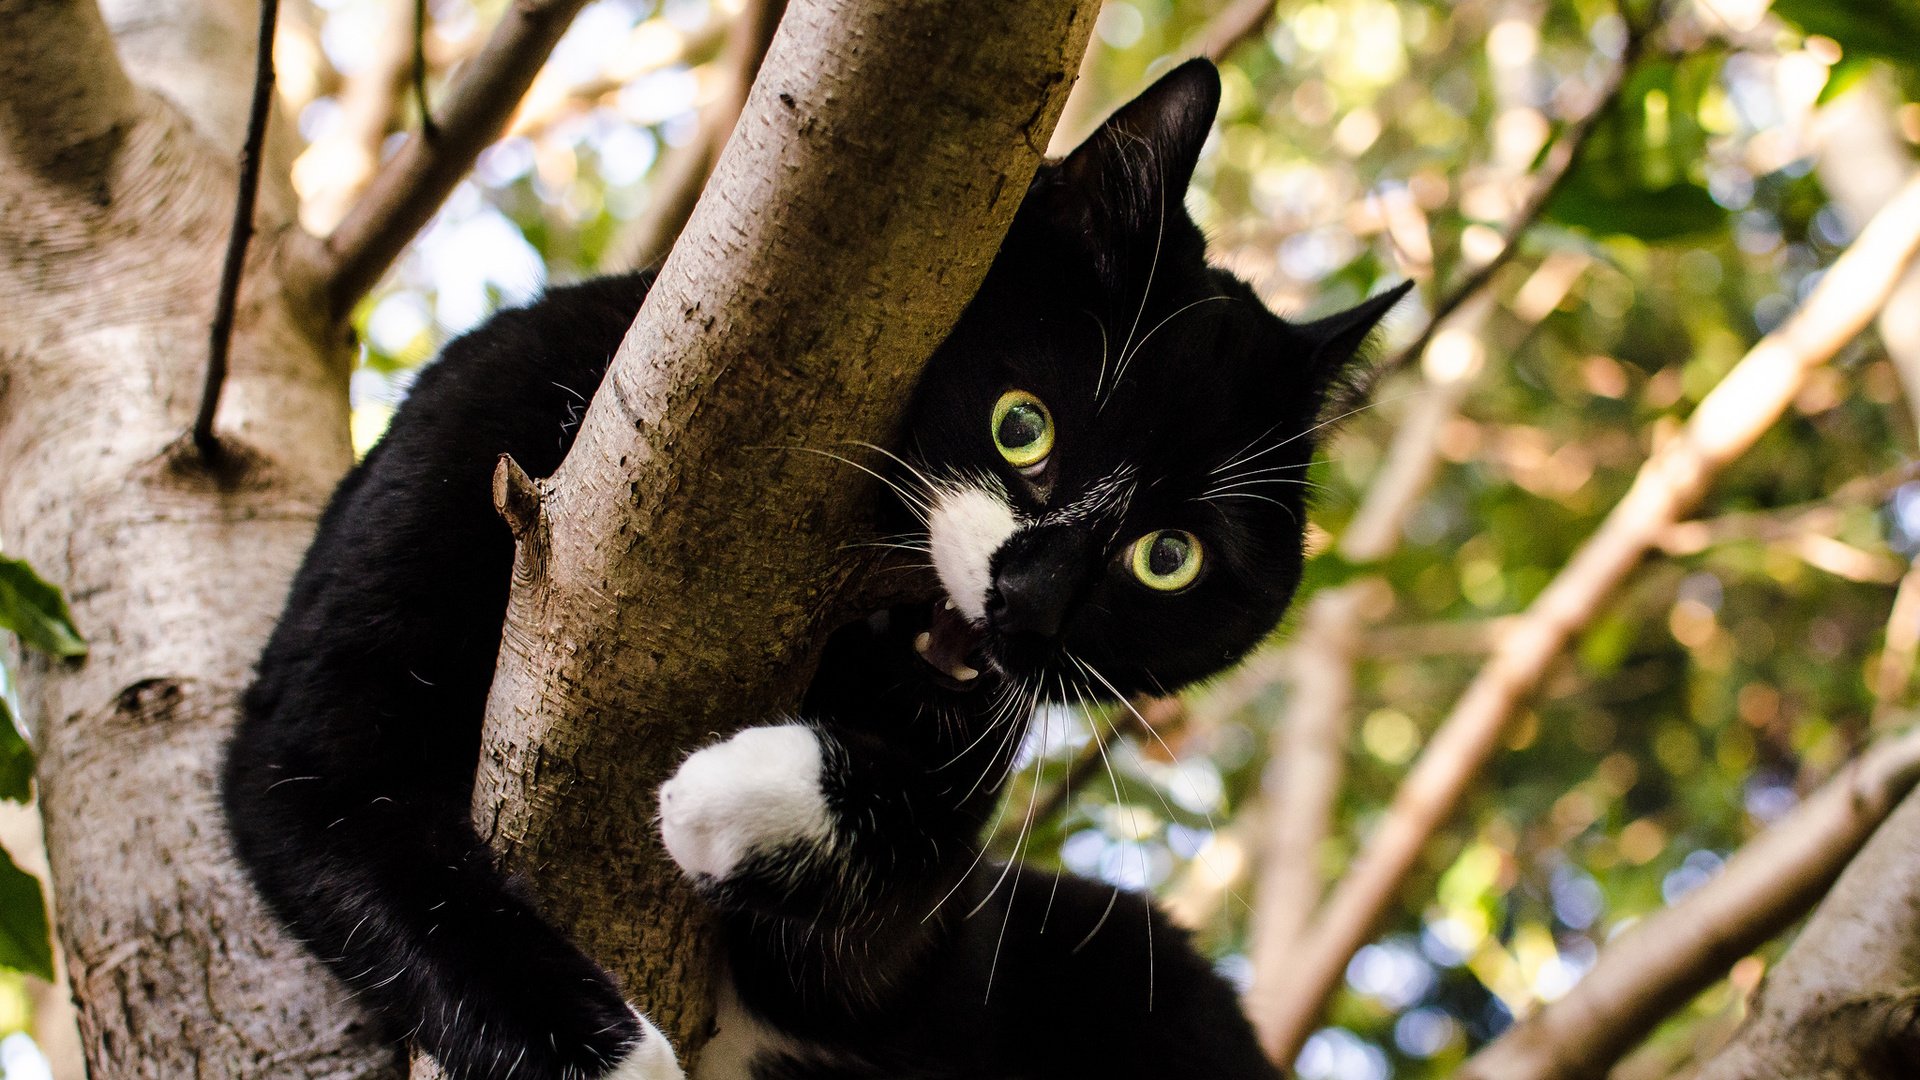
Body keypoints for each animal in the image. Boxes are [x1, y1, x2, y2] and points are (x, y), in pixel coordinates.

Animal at [220, 61, 1413, 1076]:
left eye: (1170, 559)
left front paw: (726, 797)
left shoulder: (926, 959)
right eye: (1022, 424)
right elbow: (335, 794)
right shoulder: (473, 437)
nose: (1031, 604)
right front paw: (613, 1055)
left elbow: (923, 867)